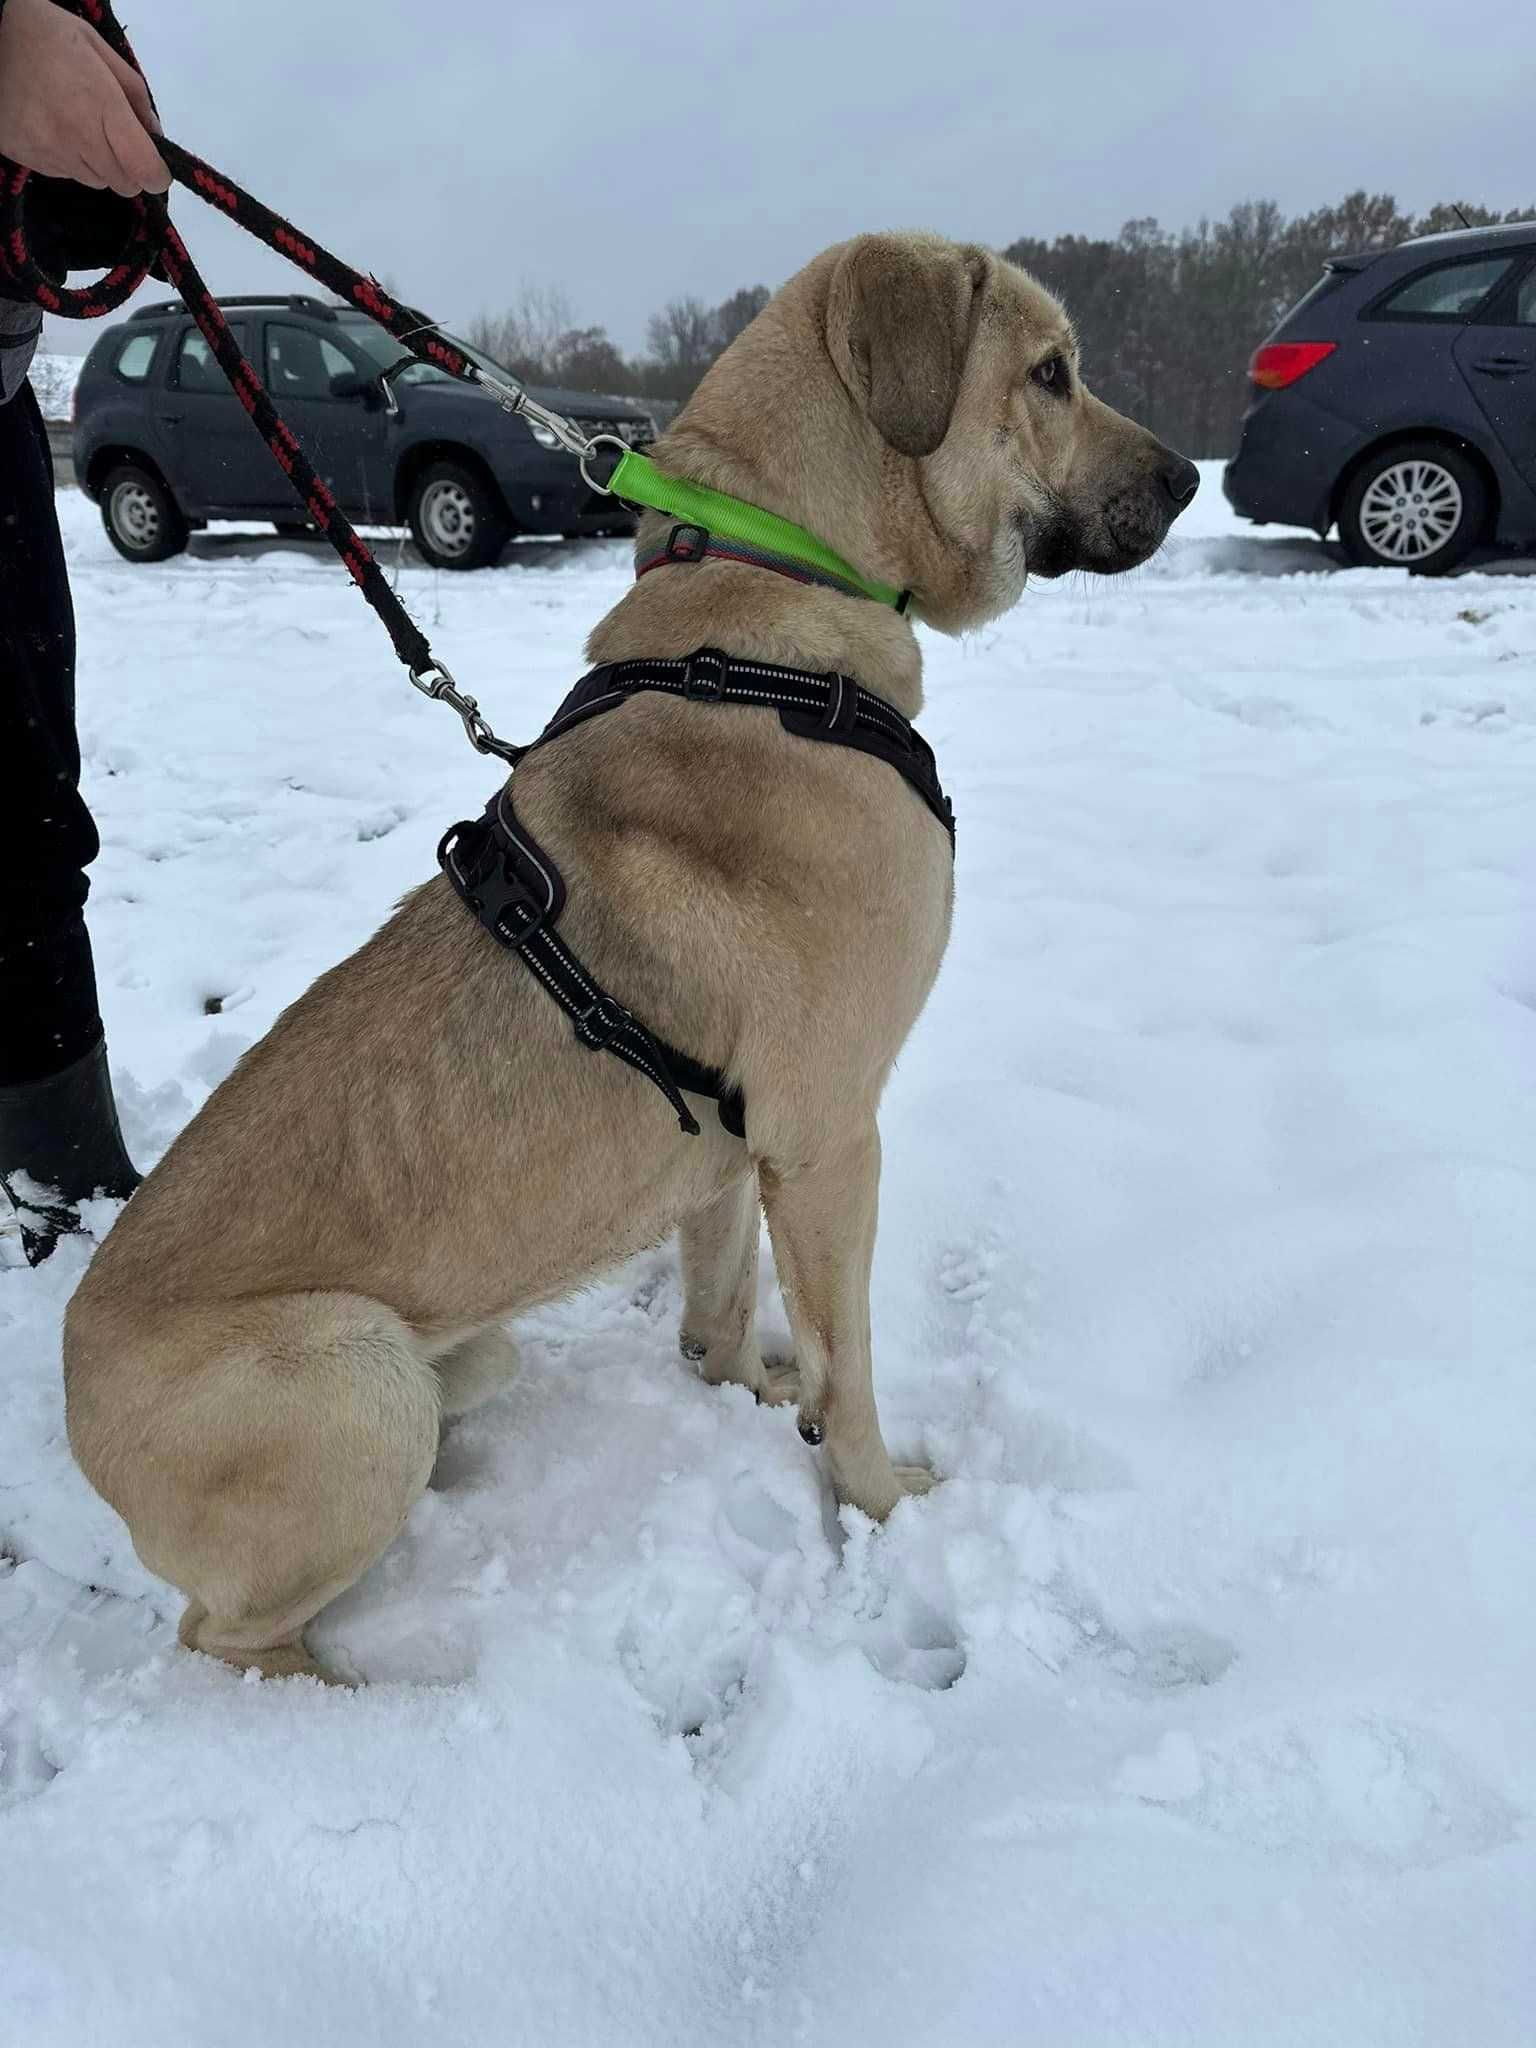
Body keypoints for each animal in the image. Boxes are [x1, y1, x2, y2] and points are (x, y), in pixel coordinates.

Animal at [63, 235, 1204, 1679]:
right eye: (1051, 374)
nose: (1189, 479)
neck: (779, 587)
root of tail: (67, 1390)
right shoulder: (830, 1136)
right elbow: (854, 1365)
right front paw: (880, 1504)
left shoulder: (730, 1151)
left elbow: (720, 1312)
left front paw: (752, 1390)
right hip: (360, 1376)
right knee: (226, 1633)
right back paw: (371, 1698)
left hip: (447, 1363)